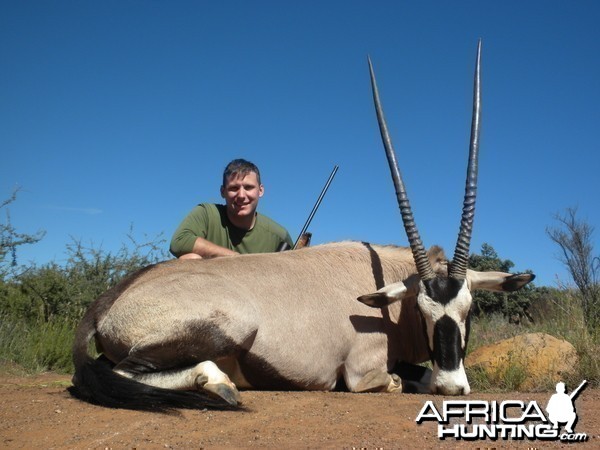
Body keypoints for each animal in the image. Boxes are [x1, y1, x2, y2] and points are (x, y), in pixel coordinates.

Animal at [70, 40, 536, 410]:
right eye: (422, 309)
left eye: (468, 308)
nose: (452, 387)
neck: (384, 305)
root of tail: (112, 298)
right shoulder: (363, 372)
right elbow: (399, 380)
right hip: (228, 325)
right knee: (120, 372)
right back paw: (220, 385)